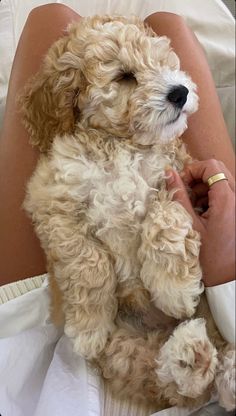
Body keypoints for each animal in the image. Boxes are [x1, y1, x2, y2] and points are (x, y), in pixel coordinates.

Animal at [21, 15, 235, 410]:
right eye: (124, 76)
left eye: (164, 62)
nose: (180, 92)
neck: (118, 143)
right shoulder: (52, 201)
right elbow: (86, 261)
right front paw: (88, 327)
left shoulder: (178, 178)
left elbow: (166, 217)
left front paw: (174, 290)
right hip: (120, 349)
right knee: (167, 378)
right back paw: (189, 355)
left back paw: (212, 362)